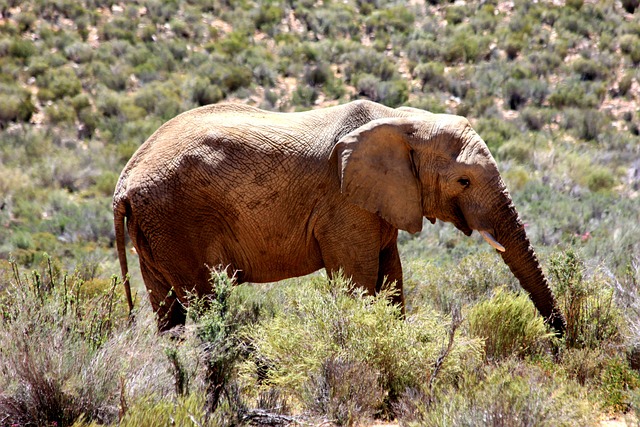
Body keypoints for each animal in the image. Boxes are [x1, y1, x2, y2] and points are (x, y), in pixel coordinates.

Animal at [114, 99, 564, 334]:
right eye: (464, 181)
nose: (562, 341)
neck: (402, 120)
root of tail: (125, 181)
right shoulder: (343, 204)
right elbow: (359, 280)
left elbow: (391, 277)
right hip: (177, 221)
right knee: (205, 305)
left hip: (155, 230)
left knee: (168, 313)